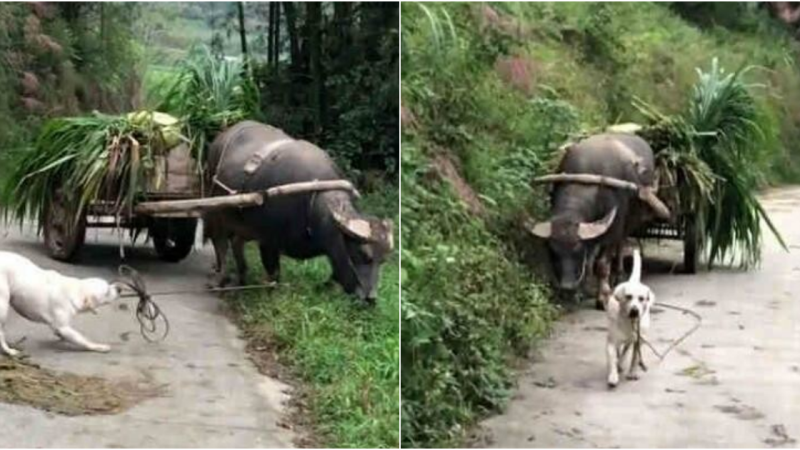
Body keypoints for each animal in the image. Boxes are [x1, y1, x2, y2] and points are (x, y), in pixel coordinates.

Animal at [203, 120, 394, 302]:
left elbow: (334, 274)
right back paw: (220, 277)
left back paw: (241, 277)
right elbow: (274, 273)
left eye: (383, 260)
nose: (370, 299)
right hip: (216, 207)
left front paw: (322, 287)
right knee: (219, 241)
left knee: (236, 242)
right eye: (364, 255)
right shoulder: (267, 240)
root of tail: (222, 135)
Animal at [524, 134, 668, 308]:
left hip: (633, 217)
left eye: (577, 250)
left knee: (622, 241)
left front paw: (603, 297)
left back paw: (619, 275)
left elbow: (602, 264)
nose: (567, 286)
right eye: (553, 251)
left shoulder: (613, 229)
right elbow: (588, 263)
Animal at [608, 248, 648, 388]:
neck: (628, 322)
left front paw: (632, 372)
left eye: (641, 298)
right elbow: (612, 359)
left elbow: (635, 357)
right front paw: (613, 376)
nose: (635, 311)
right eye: (628, 296)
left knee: (627, 348)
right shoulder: (611, 342)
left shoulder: (638, 340)